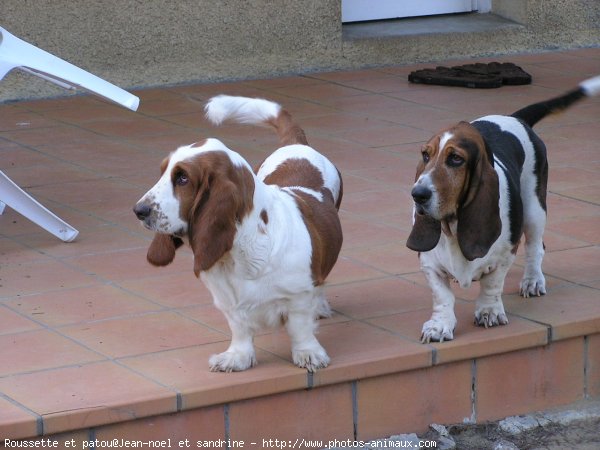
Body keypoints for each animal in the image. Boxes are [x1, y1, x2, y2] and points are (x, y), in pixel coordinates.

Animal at [134, 96, 344, 372]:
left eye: (182, 178)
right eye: (163, 173)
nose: (139, 210)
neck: (239, 253)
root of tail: (296, 144)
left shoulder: (298, 297)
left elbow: (300, 328)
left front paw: (308, 353)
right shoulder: (228, 302)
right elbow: (240, 329)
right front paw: (237, 357)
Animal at [406, 74, 596, 342]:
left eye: (456, 159)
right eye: (425, 155)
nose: (418, 195)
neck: (453, 225)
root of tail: (515, 118)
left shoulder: (506, 253)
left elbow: (492, 284)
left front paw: (489, 311)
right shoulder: (429, 263)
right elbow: (442, 295)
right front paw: (440, 325)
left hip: (535, 210)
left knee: (536, 247)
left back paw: (533, 280)